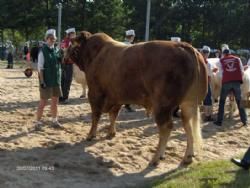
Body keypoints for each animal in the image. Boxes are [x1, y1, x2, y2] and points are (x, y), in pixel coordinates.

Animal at [67, 30, 208, 164]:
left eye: (71, 44)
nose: (64, 56)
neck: (95, 54)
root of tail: (184, 46)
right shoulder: (116, 95)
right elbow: (113, 115)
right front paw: (111, 132)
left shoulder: (95, 93)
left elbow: (96, 115)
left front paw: (91, 135)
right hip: (188, 103)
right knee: (188, 125)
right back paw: (187, 157)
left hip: (163, 105)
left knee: (166, 127)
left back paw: (156, 158)